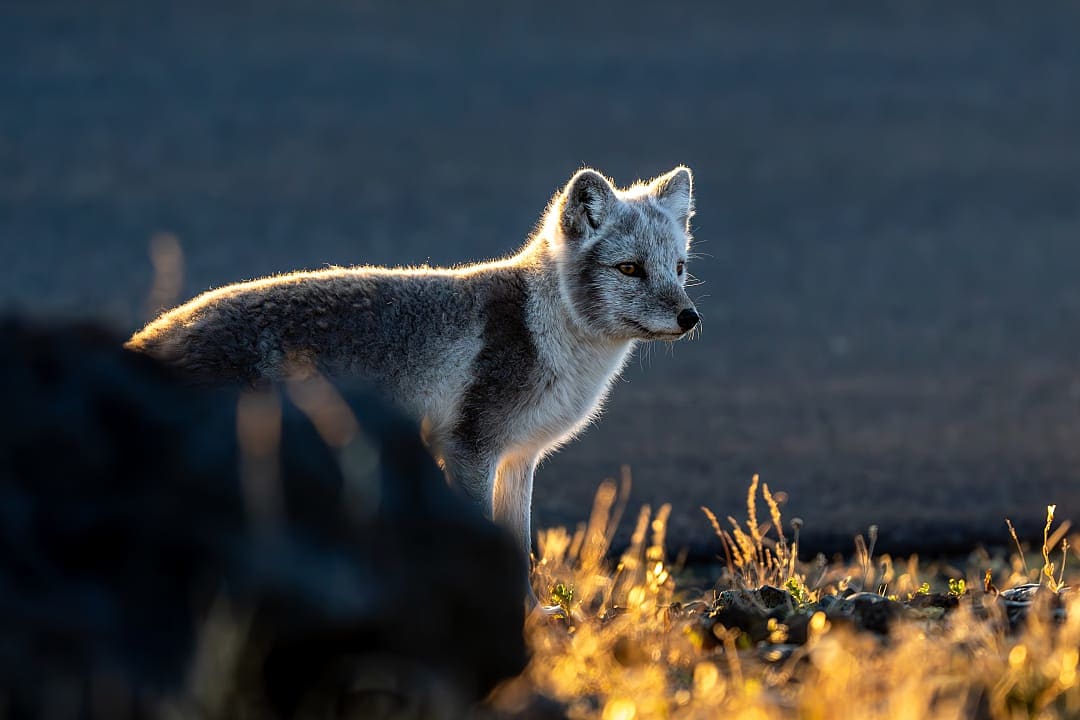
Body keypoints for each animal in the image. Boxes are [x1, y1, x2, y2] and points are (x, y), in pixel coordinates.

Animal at [127, 166, 700, 587]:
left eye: (678, 269)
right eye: (630, 269)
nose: (690, 318)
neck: (545, 327)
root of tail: (150, 334)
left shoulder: (518, 458)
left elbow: (520, 549)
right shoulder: (470, 449)